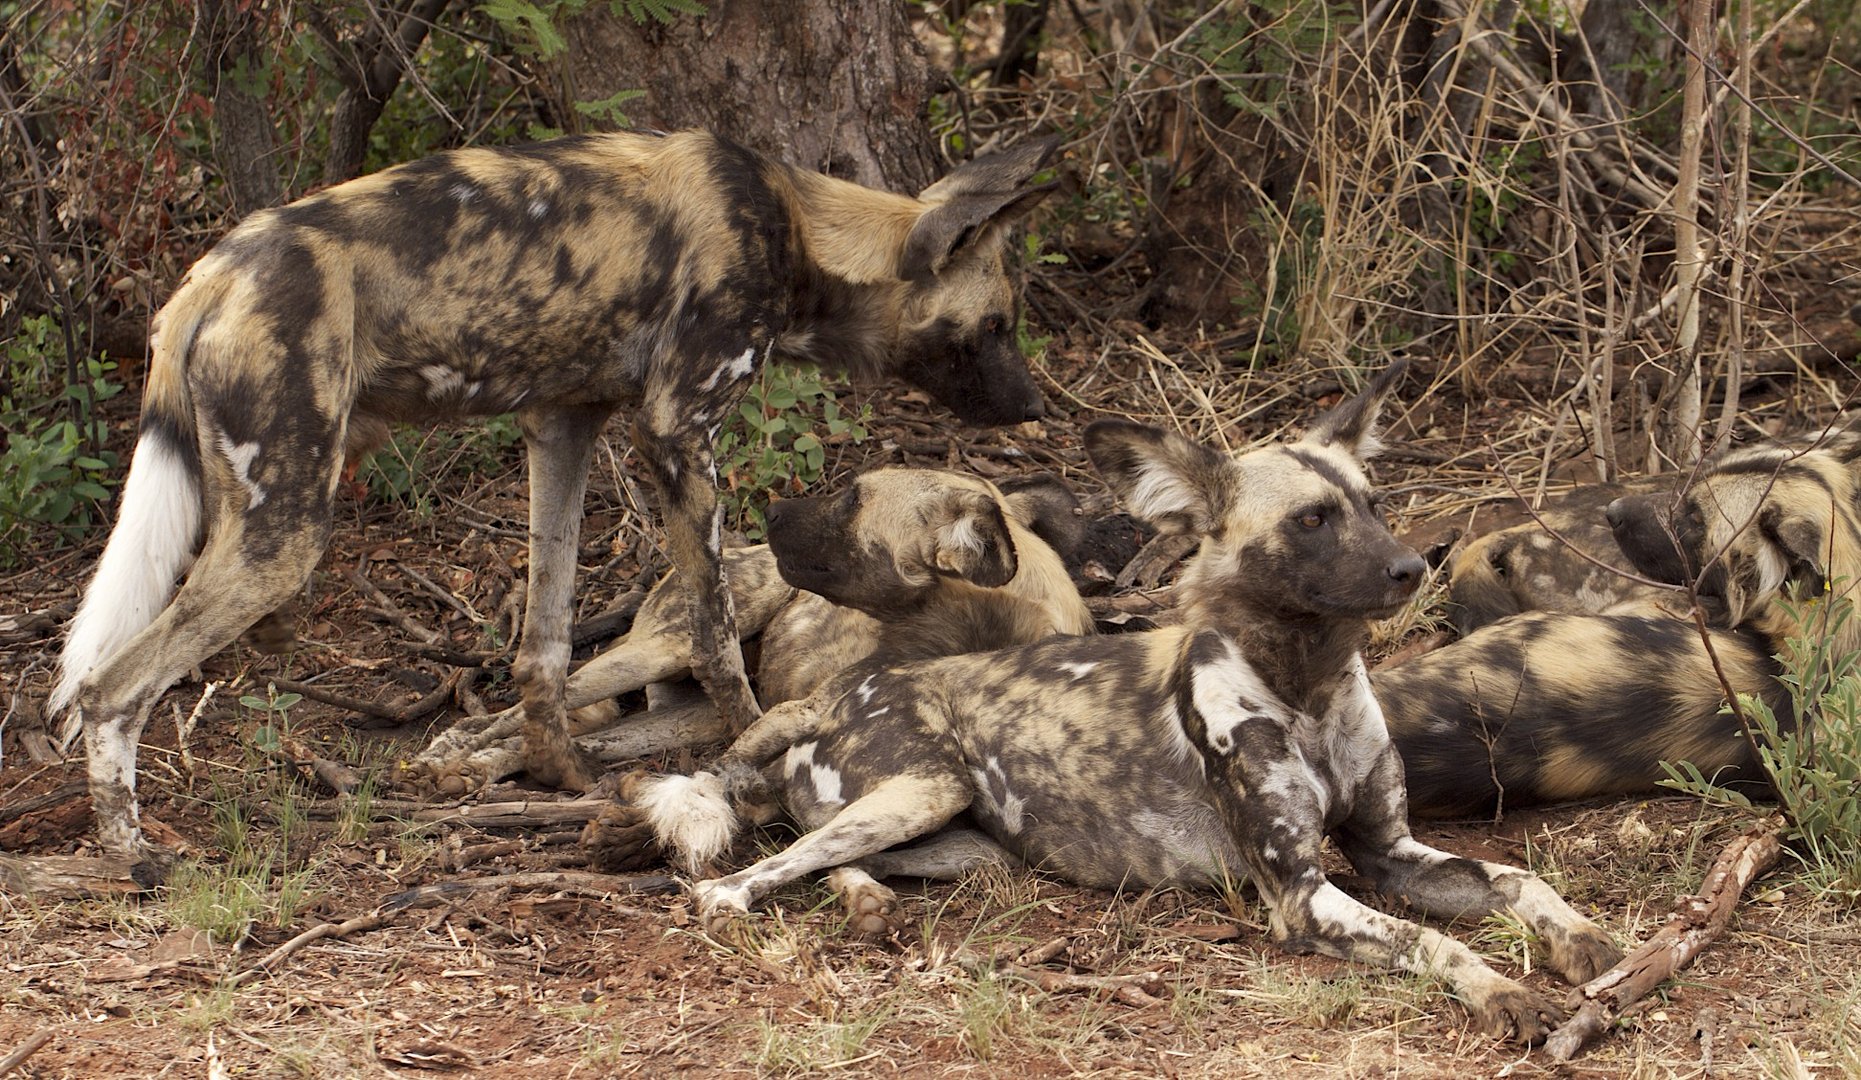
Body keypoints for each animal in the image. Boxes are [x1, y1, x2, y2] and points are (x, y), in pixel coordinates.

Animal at [403, 472, 1079, 793]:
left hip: (690, 716)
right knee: (526, 706)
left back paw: (476, 769)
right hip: (661, 653)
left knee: (571, 741)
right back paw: (451, 752)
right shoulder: (795, 714)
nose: (771, 510)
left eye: (851, 501)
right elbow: (722, 774)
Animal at [636, 366, 1615, 1042]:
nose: (1412, 568)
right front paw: (1508, 992)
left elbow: (1521, 881)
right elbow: (1438, 945)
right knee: (742, 878)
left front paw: (1580, 941)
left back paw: (871, 903)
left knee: (822, 854)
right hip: (917, 793)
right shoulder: (1302, 895)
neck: (1307, 685)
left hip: (964, 844)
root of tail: (832, 694)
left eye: (1374, 506)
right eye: (1311, 521)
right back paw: (769, 902)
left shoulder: (1390, 852)